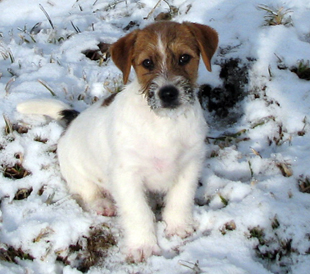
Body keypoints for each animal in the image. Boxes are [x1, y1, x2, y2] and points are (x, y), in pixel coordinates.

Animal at [17, 20, 218, 262]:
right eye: (147, 63)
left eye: (184, 58)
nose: (168, 93)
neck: (164, 123)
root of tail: (72, 122)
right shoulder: (127, 175)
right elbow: (138, 212)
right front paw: (142, 245)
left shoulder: (189, 165)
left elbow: (180, 199)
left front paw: (178, 226)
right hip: (77, 173)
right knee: (87, 192)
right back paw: (103, 204)